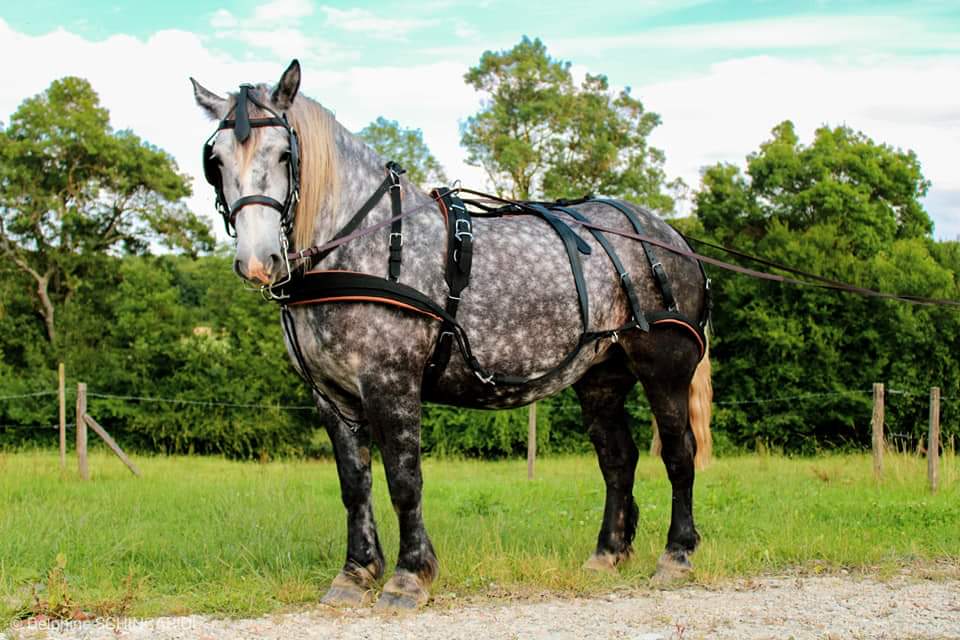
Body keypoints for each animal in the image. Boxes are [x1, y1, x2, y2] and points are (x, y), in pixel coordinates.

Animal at [191, 60, 713, 609]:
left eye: (284, 154)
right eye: (215, 160)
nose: (257, 261)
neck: (367, 246)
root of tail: (674, 237)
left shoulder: (391, 383)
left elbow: (404, 480)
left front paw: (409, 576)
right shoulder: (330, 395)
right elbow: (354, 484)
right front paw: (356, 572)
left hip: (664, 368)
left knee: (679, 454)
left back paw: (677, 554)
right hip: (601, 377)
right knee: (618, 460)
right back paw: (607, 554)